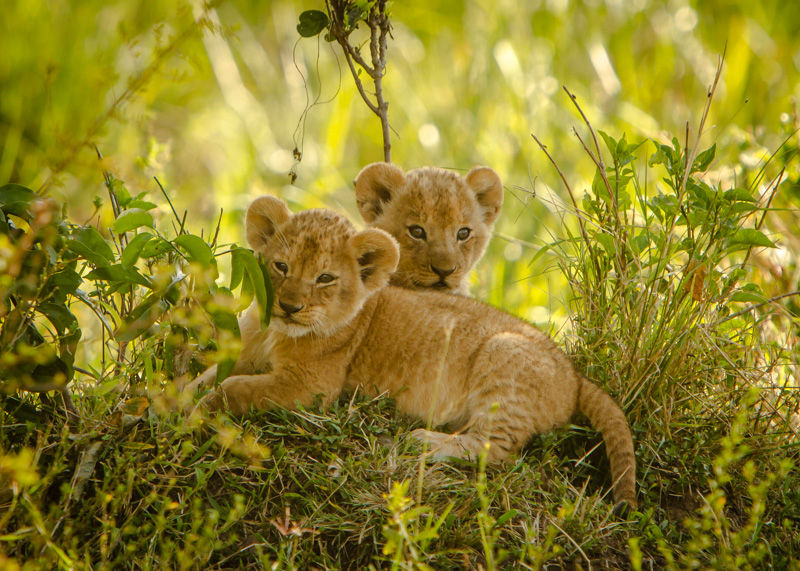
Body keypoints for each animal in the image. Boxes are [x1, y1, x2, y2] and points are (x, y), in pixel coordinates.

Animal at [183, 196, 637, 509]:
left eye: (325, 278)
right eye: (281, 266)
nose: (290, 306)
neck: (274, 332)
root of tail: (577, 376)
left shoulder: (311, 389)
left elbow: (235, 387)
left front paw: (198, 410)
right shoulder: (244, 352)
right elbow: (209, 375)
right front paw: (179, 396)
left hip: (503, 352)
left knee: (495, 450)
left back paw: (423, 441)